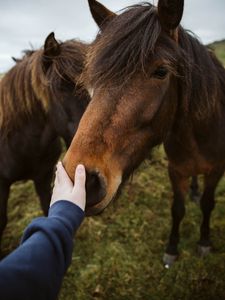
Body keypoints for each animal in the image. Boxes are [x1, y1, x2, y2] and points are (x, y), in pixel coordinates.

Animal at [62, 0, 225, 268]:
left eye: (161, 71)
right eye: (97, 77)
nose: (84, 181)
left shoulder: (216, 170)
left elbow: (207, 204)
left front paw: (204, 242)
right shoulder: (176, 170)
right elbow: (177, 208)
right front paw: (172, 248)